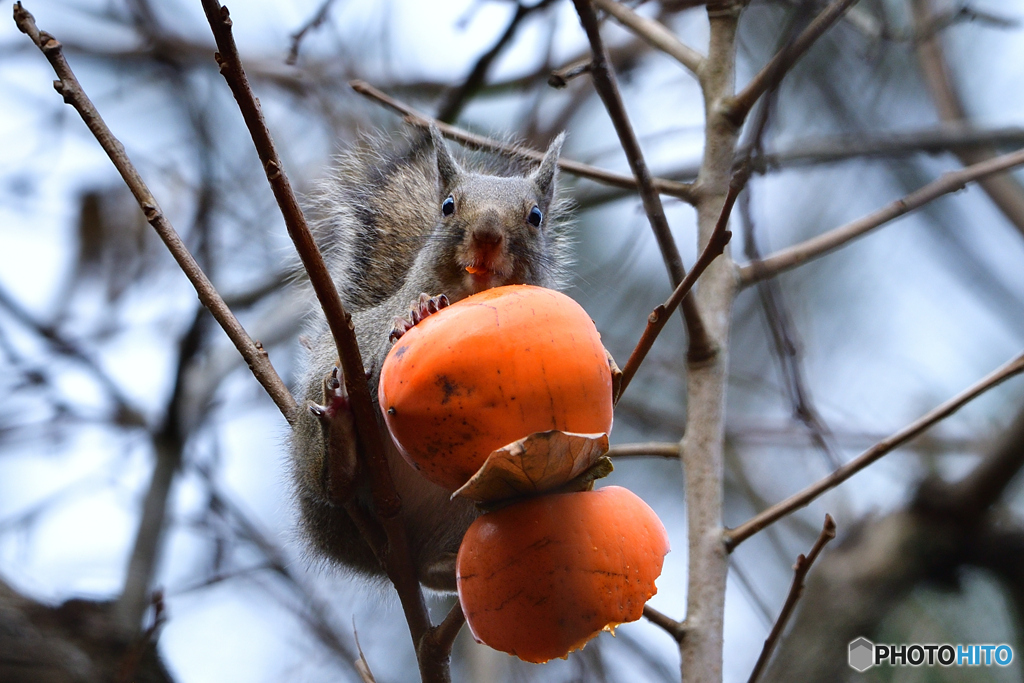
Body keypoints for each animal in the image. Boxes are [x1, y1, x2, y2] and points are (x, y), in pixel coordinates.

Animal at [292, 127, 573, 593]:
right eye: (448, 206)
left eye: (536, 216)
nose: (487, 233)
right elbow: (379, 352)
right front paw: (415, 316)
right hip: (315, 441)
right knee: (334, 488)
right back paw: (341, 440)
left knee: (444, 564)